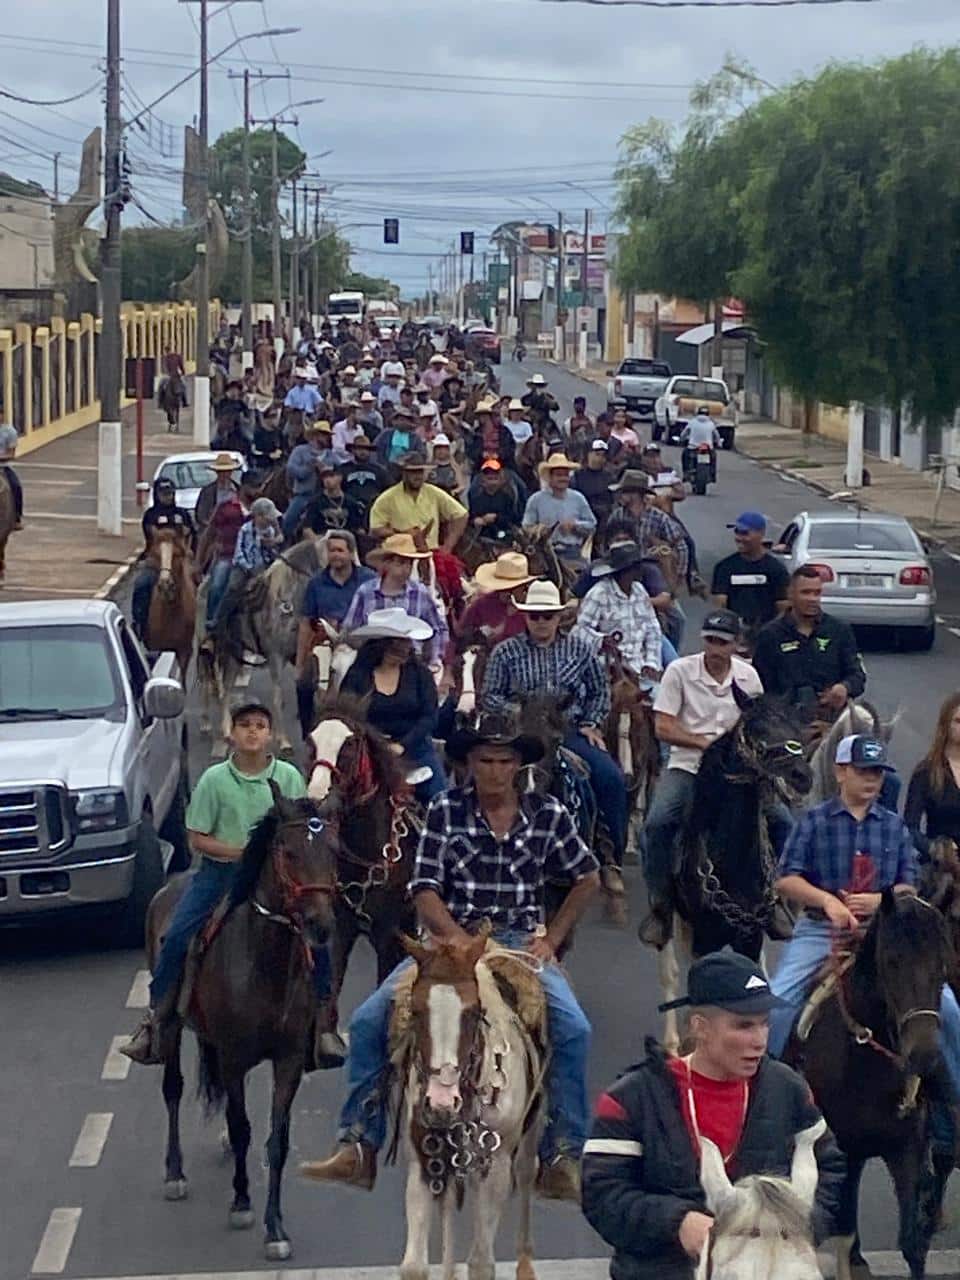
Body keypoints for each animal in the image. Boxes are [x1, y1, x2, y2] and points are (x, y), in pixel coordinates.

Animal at [150, 788, 343, 1259]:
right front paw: (241, 1203)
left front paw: (276, 1228)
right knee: (173, 1089)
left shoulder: (288, 1060)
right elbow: (242, 1130)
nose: (321, 925)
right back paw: (175, 1173)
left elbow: (277, 1141)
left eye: (333, 851)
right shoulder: (235, 1057)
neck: (266, 963)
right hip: (173, 1028)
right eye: (288, 852)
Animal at [793, 890, 957, 1280]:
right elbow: (842, 1234)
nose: (924, 1055)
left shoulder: (906, 1147)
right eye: (892, 962)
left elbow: (912, 1243)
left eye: (943, 965)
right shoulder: (841, 1149)